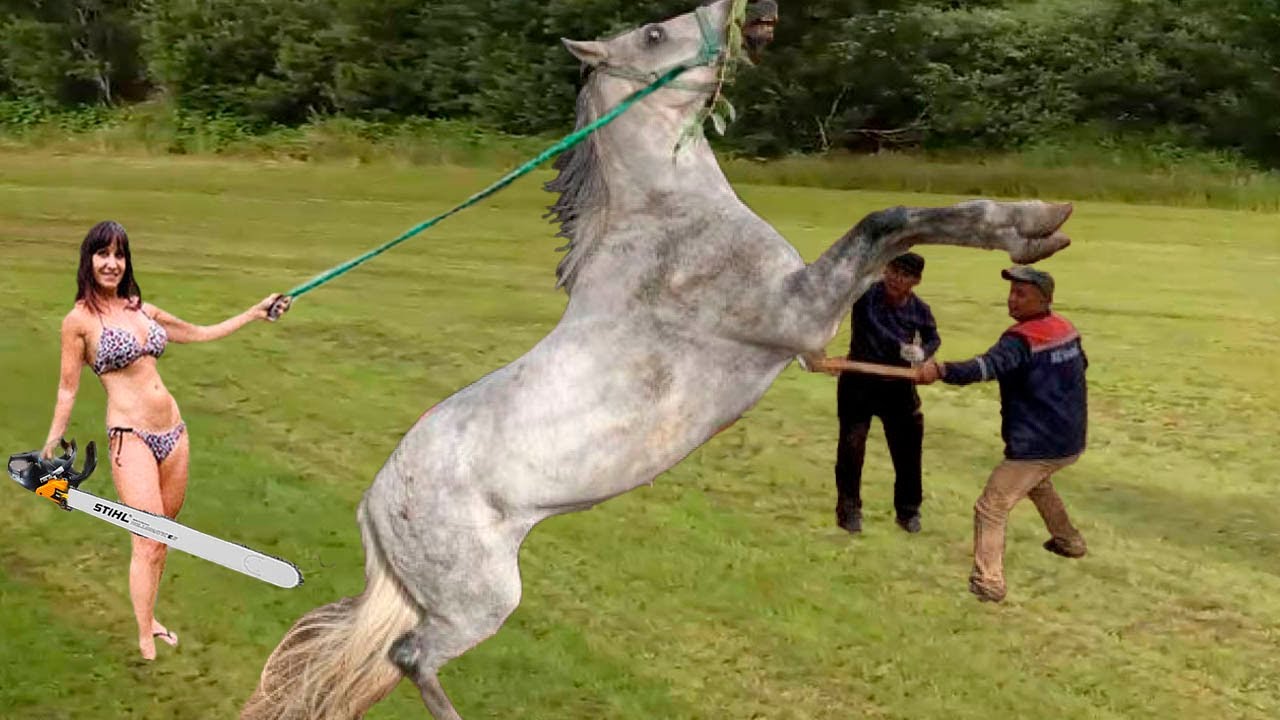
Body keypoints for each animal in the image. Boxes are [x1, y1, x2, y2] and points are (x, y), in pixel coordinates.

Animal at [242, 1, 1072, 718]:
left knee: (349, 653)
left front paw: (1039, 222)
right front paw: (1033, 226)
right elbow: (887, 220)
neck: (671, 221)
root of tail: (374, 506)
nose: (752, 10)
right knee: (410, 656)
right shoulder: (802, 319)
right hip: (477, 603)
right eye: (651, 31)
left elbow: (905, 225)